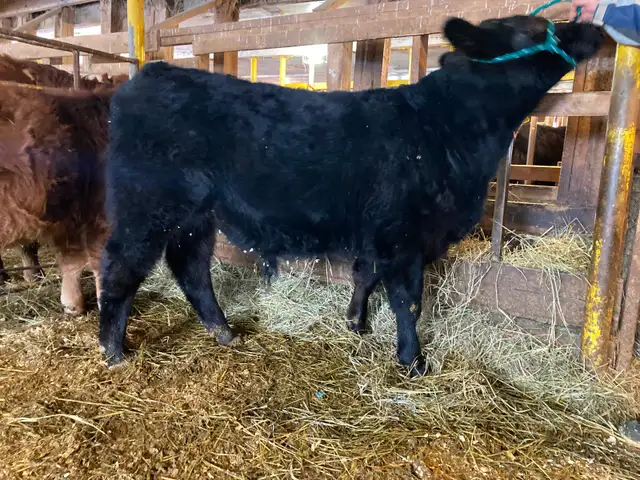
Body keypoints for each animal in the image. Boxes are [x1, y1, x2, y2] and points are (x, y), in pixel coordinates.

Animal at [98, 16, 604, 375]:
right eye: (535, 28)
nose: (595, 28)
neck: (445, 126)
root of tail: (152, 72)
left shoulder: (382, 232)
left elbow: (366, 275)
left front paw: (356, 324)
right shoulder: (405, 234)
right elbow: (408, 299)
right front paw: (412, 359)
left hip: (195, 215)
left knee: (191, 268)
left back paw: (223, 331)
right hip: (146, 205)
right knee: (121, 265)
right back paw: (113, 347)